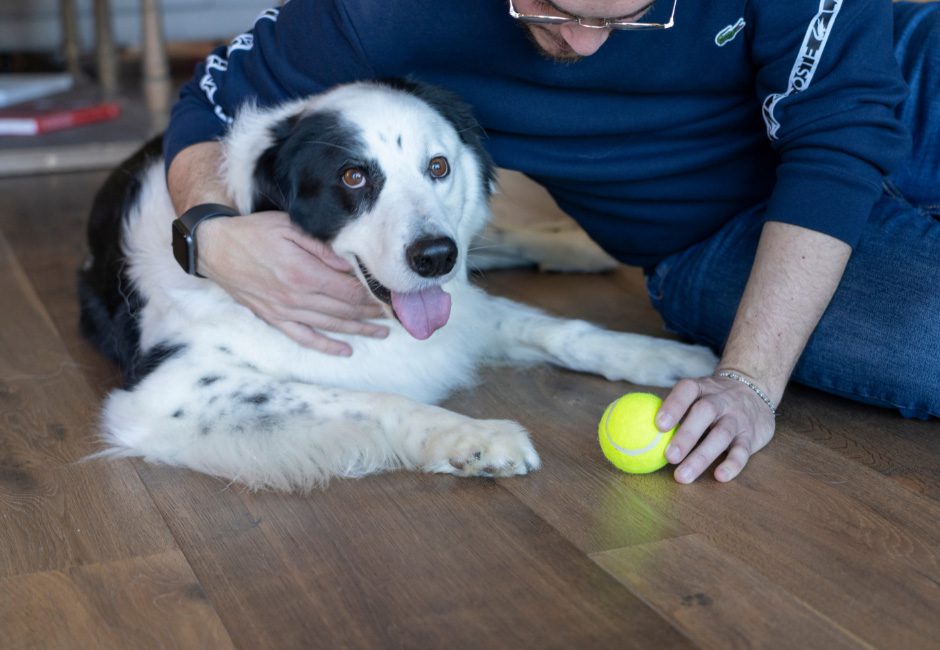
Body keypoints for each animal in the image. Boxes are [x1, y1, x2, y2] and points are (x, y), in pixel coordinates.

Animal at [81, 78, 716, 488]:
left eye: (438, 166)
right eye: (353, 177)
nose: (435, 256)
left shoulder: (461, 306)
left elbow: (560, 331)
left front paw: (667, 358)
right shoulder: (176, 389)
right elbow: (369, 397)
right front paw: (471, 438)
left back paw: (574, 248)